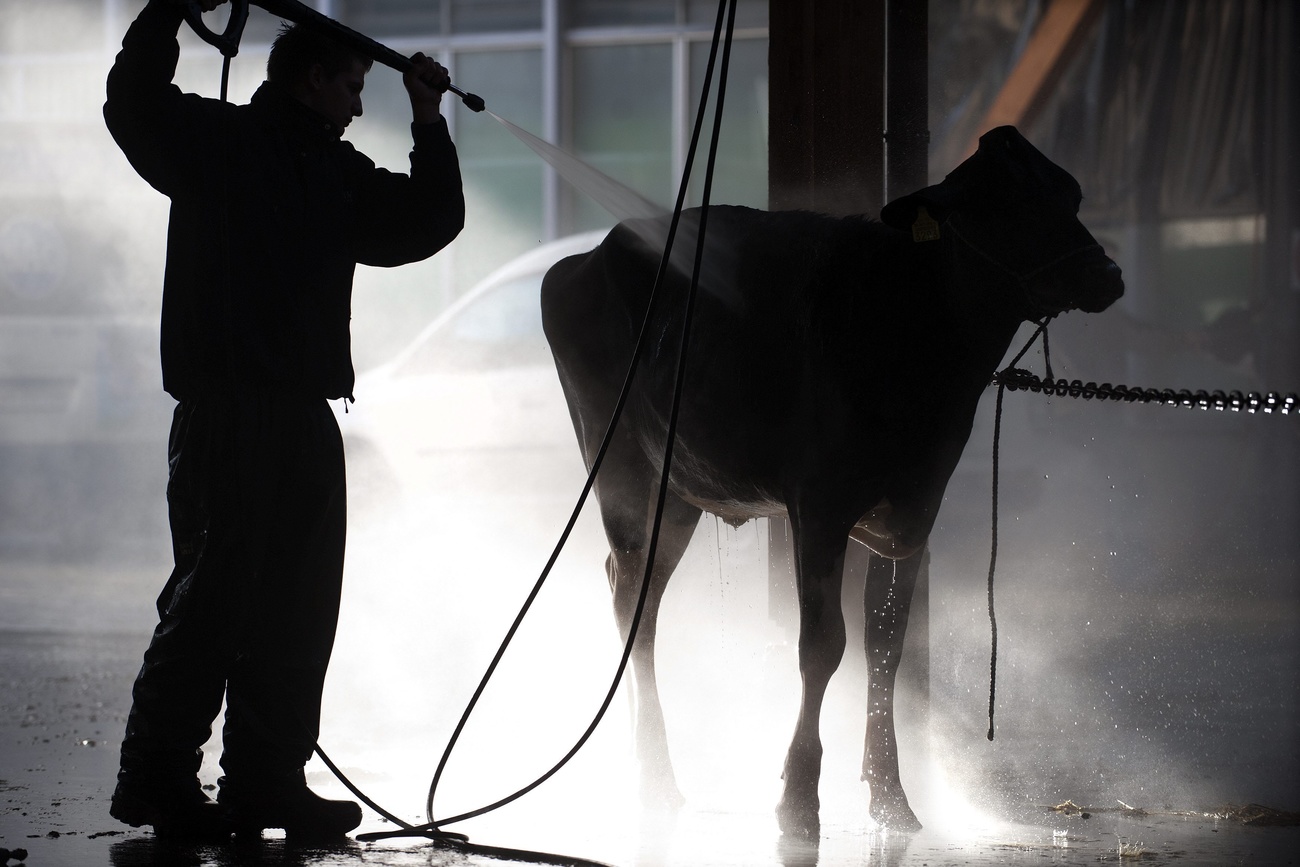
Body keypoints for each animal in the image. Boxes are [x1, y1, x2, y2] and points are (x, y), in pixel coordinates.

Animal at [538, 125, 1128, 837]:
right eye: (1006, 205)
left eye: (1070, 193)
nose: (1105, 274)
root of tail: (586, 258)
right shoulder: (818, 509)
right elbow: (822, 645)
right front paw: (798, 797)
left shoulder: (915, 509)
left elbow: (887, 645)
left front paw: (891, 796)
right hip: (623, 471)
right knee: (633, 603)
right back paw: (655, 777)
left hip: (678, 492)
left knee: (636, 594)